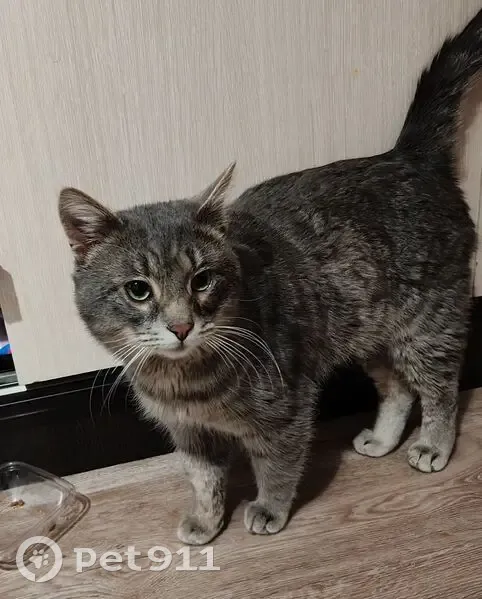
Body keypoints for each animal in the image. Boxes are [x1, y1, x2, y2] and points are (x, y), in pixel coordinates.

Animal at [59, 10, 481, 545]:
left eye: (201, 280)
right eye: (138, 290)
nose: (181, 326)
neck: (185, 382)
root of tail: (407, 155)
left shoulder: (286, 411)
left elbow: (277, 468)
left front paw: (268, 509)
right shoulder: (189, 434)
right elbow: (203, 480)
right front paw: (205, 519)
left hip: (427, 327)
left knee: (439, 388)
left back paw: (433, 444)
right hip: (370, 335)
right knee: (398, 389)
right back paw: (384, 438)